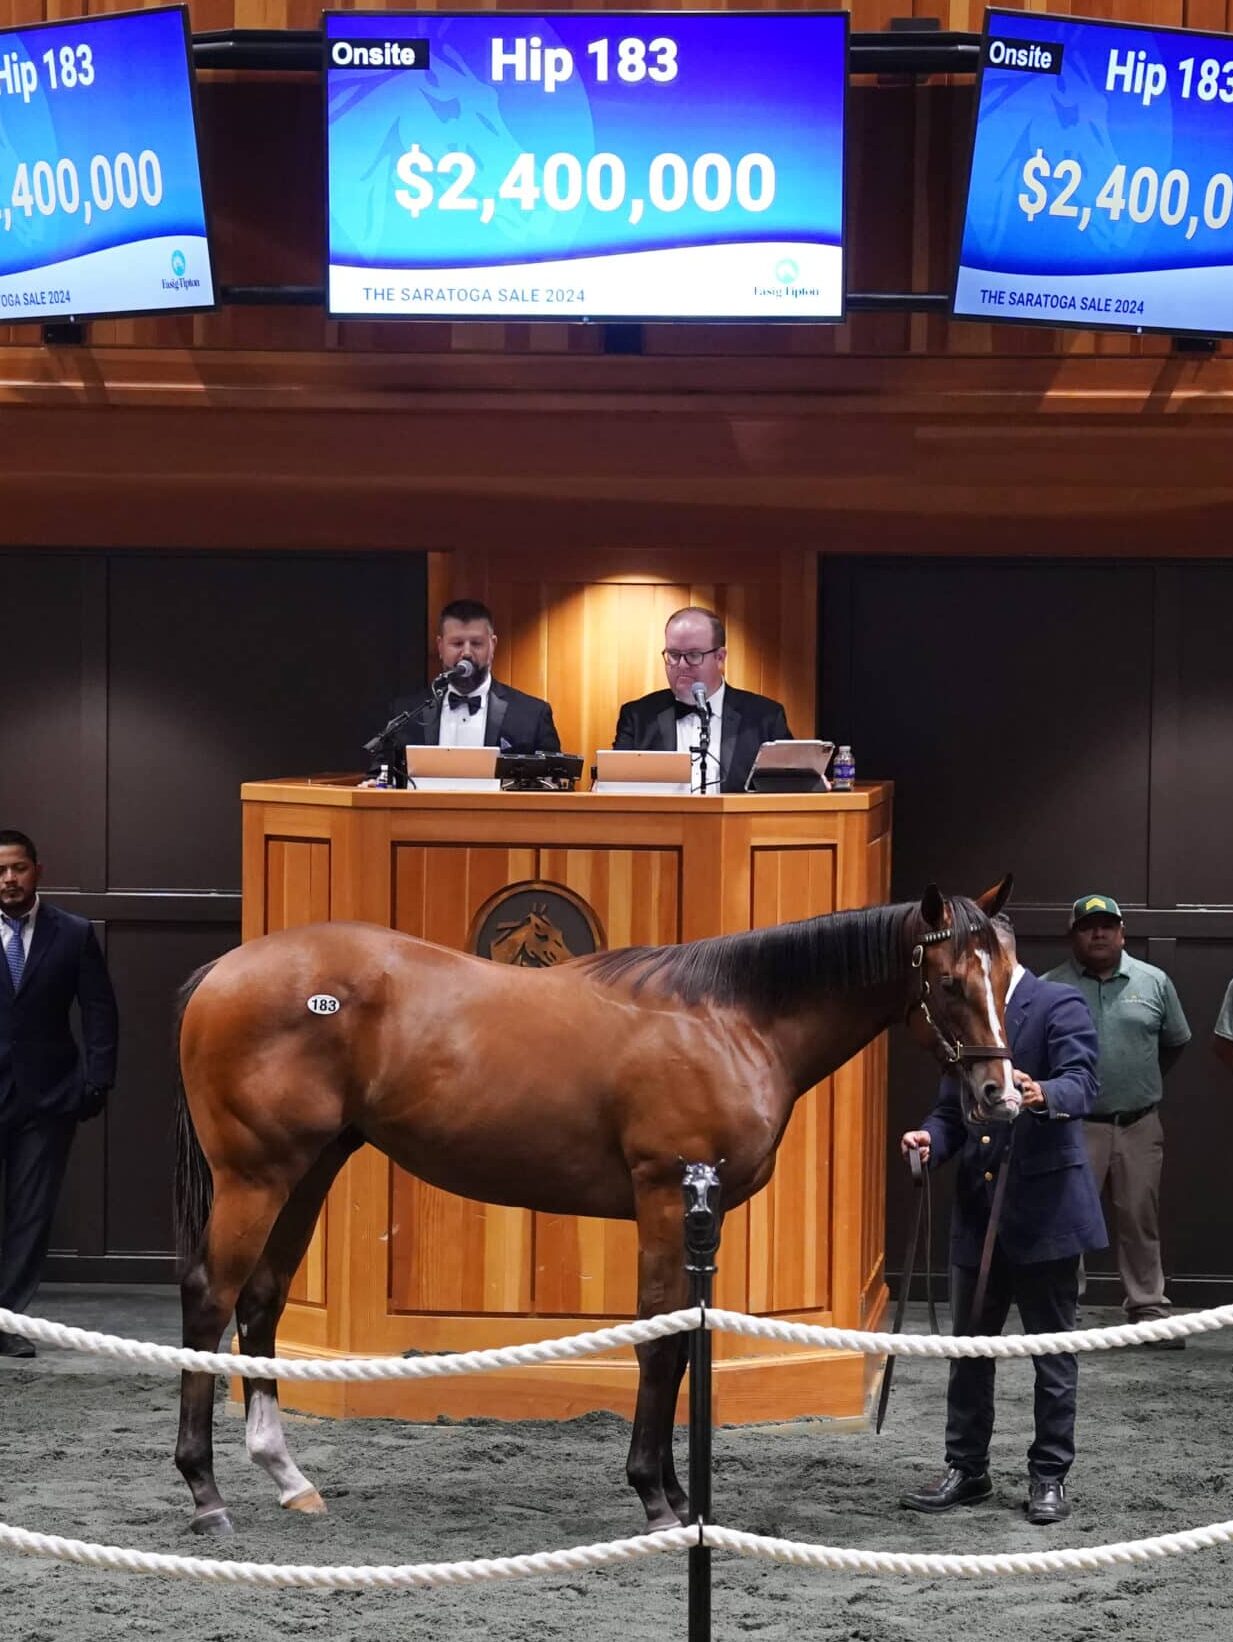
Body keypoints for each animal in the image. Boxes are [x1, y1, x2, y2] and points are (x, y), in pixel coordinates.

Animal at [178, 880, 1017, 1530]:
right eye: (949, 982)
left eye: (1006, 977)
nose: (998, 1096)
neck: (730, 1020)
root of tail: (222, 969)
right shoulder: (665, 1196)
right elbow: (658, 1343)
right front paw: (656, 1499)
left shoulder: (700, 1215)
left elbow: (679, 1342)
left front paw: (677, 1492)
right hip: (256, 1175)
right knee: (211, 1297)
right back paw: (206, 1494)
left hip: (310, 1168)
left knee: (262, 1298)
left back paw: (288, 1478)